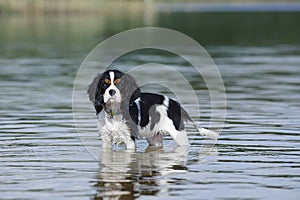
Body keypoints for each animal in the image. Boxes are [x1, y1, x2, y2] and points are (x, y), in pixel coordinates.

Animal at [88, 69, 217, 149]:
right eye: (104, 84)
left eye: (119, 84)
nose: (111, 91)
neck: (113, 112)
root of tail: (175, 103)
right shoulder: (106, 139)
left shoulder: (129, 139)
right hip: (154, 139)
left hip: (179, 135)